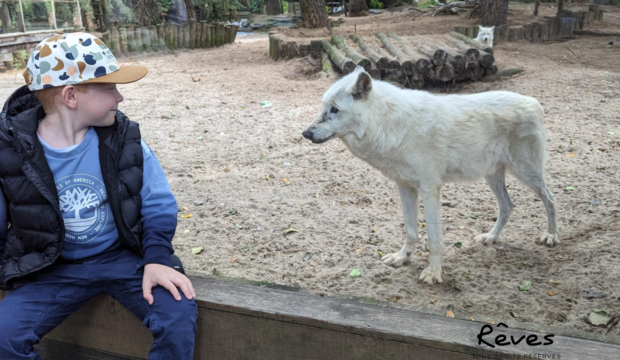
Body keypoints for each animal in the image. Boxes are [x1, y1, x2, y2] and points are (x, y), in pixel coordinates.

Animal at [302, 68, 560, 284]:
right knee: (507, 205)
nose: (306, 133)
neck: (390, 126)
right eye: (323, 108)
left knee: (550, 199)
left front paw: (433, 273)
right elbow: (410, 230)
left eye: (335, 110)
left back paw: (551, 236)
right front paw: (401, 258)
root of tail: (533, 102)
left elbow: (434, 239)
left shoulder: (429, 189)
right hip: (492, 176)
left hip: (527, 173)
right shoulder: (404, 187)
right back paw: (490, 238)